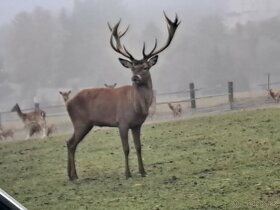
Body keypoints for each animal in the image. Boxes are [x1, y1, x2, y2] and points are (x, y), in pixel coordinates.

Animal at [65, 11, 179, 180]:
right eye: (132, 68)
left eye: (145, 67)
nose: (135, 78)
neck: (138, 106)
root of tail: (68, 103)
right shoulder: (122, 122)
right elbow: (126, 148)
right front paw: (127, 174)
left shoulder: (137, 124)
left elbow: (138, 147)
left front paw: (143, 171)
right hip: (80, 122)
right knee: (71, 143)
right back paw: (74, 176)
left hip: (85, 124)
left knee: (69, 143)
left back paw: (72, 175)